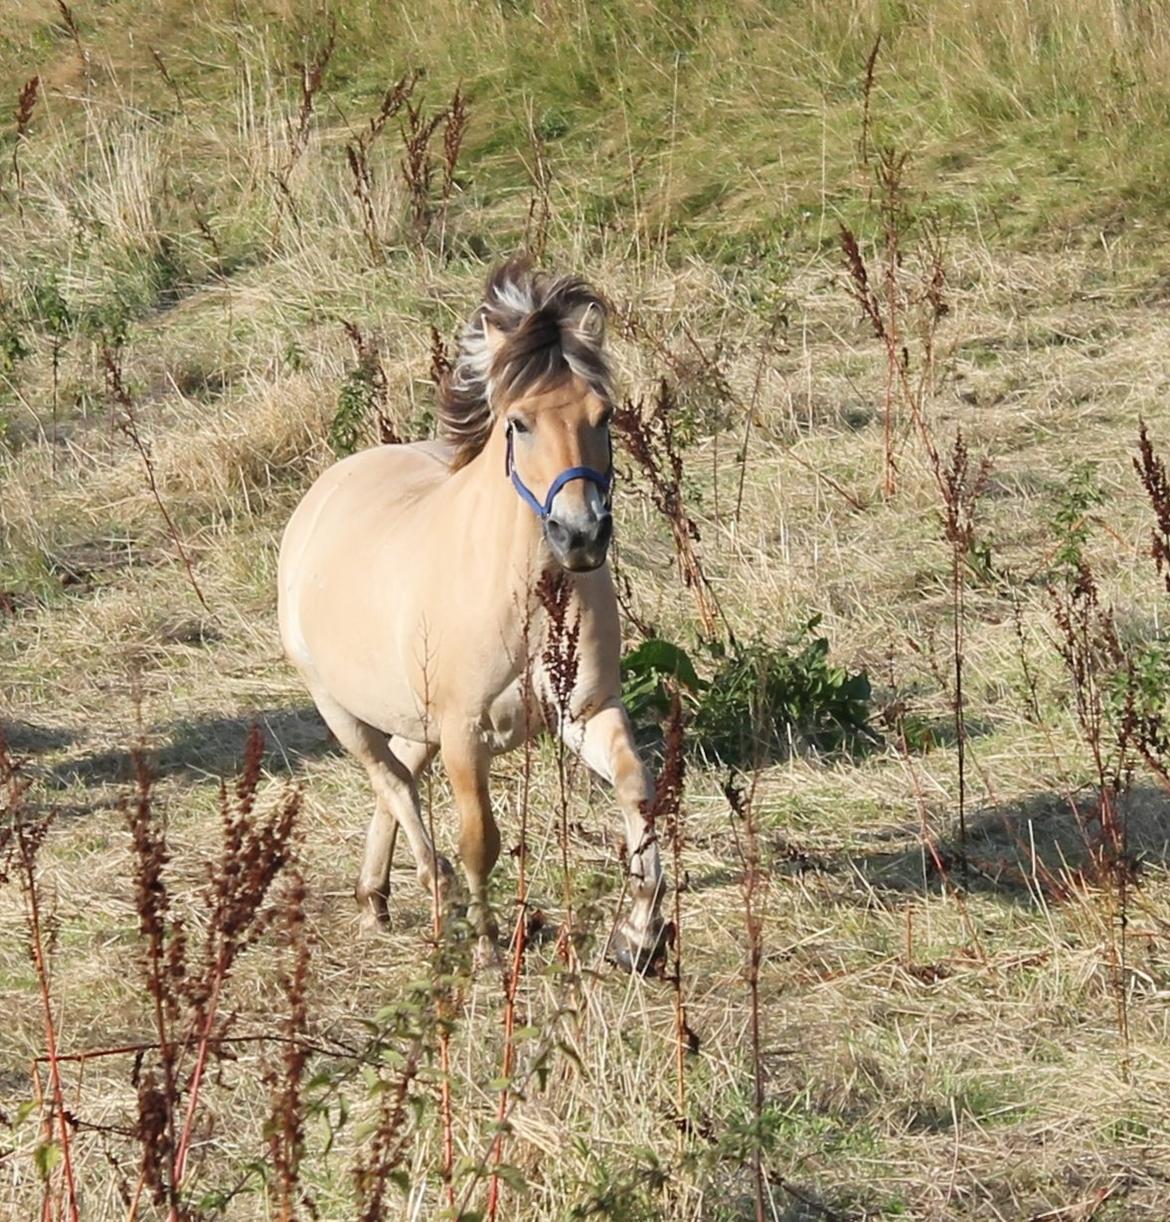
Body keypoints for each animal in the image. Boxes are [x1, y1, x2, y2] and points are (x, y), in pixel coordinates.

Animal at [276, 257, 665, 972]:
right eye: (518, 422)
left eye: (602, 414)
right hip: (339, 708)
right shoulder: (463, 733)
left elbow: (636, 789)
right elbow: (479, 836)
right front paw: (487, 942)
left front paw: (638, 935)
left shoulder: (586, 712)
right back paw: (441, 896)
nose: (581, 535)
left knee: (399, 771)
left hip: (413, 717)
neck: (527, 599)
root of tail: (327, 489)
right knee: (392, 780)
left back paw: (376, 893)